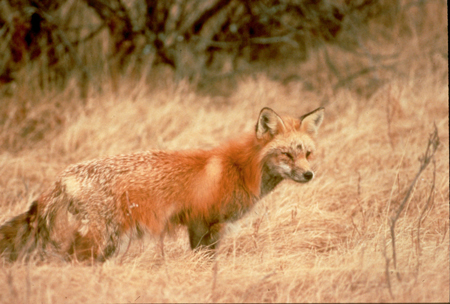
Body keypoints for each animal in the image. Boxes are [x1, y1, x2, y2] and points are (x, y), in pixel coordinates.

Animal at [0, 107, 324, 262]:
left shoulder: (207, 227)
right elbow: (205, 261)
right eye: (287, 154)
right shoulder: (202, 223)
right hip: (100, 240)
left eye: (307, 154)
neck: (239, 168)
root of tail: (61, 177)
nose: (309, 175)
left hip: (109, 243)